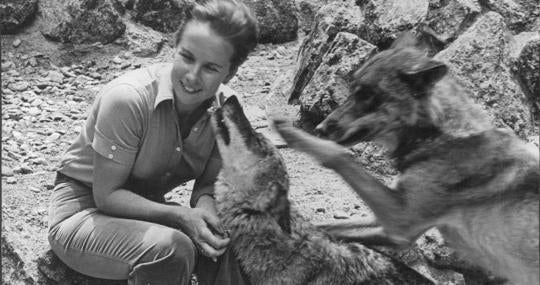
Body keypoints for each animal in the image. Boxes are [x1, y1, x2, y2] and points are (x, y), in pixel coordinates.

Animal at [274, 33, 540, 284]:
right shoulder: (392, 227)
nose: (319, 128)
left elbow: (338, 155)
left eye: (369, 95)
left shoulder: (400, 220)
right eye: (352, 91)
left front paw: (294, 135)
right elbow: (325, 226)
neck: (440, 136)